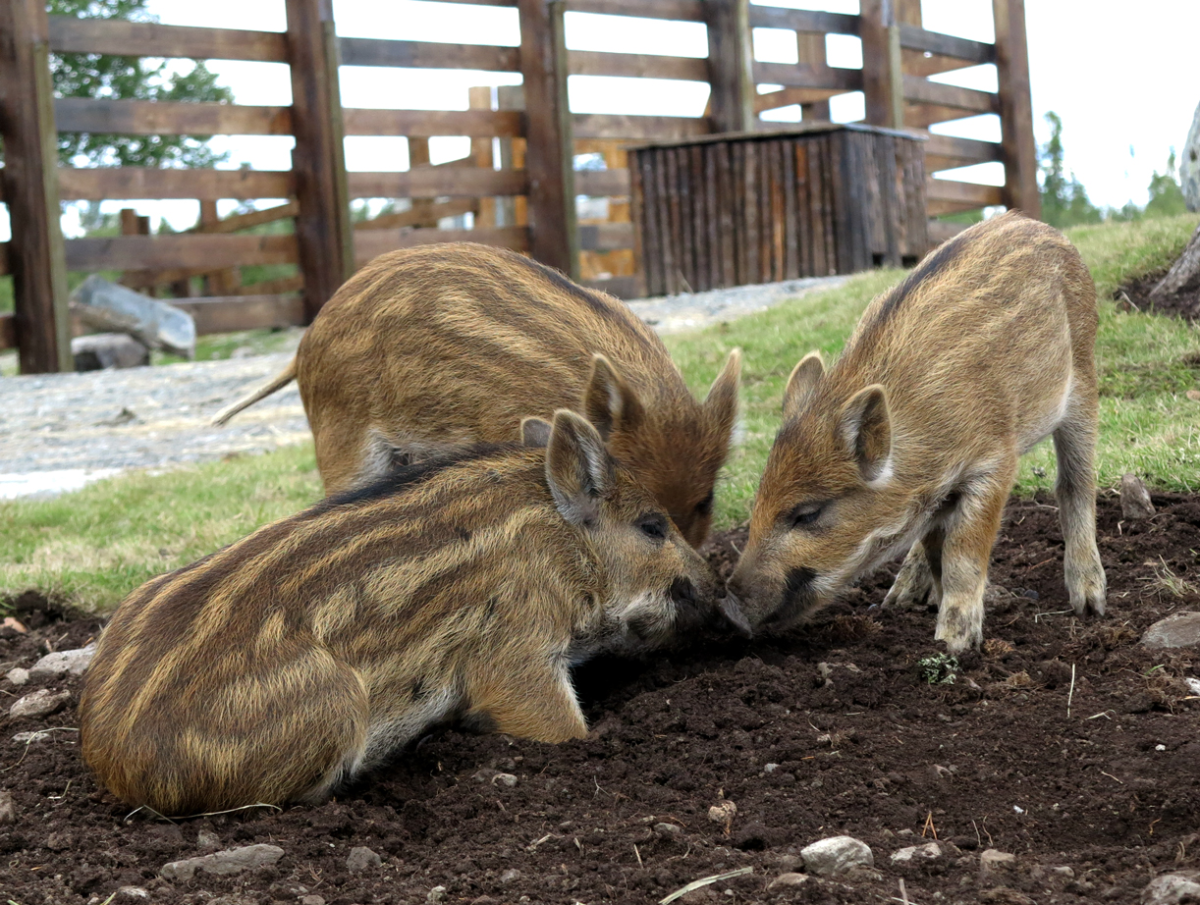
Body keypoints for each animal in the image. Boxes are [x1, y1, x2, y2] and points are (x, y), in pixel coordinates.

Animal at [80, 410, 738, 816]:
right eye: (652, 526)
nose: (717, 587)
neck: (561, 543)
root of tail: (113, 759)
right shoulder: (517, 654)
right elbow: (562, 726)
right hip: (337, 704)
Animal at [726, 212, 1107, 653]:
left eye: (808, 514)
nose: (729, 612)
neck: (918, 437)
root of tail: (1035, 223)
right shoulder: (934, 493)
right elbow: (936, 548)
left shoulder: (994, 461)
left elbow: (962, 553)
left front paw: (953, 644)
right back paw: (901, 597)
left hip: (1083, 383)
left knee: (1076, 483)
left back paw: (1090, 601)